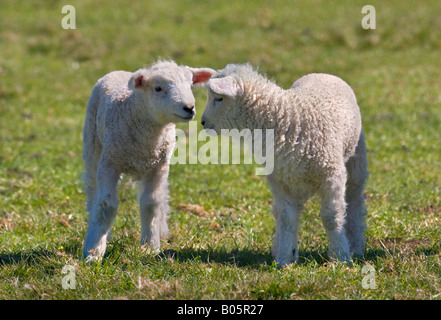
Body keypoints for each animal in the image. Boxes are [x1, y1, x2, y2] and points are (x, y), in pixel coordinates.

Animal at [82, 60, 213, 262]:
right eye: (158, 88)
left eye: (190, 84)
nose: (189, 108)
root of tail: (120, 71)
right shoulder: (109, 163)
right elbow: (106, 205)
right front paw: (94, 252)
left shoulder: (158, 167)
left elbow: (151, 204)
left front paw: (150, 246)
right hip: (93, 145)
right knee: (92, 191)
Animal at [200, 63, 368, 266]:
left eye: (219, 98)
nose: (202, 122)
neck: (286, 118)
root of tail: (323, 73)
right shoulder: (280, 181)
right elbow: (288, 218)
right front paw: (285, 259)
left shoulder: (332, 176)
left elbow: (331, 217)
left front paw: (340, 256)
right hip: (294, 177)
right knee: (281, 213)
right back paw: (279, 248)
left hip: (355, 161)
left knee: (355, 201)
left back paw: (356, 246)